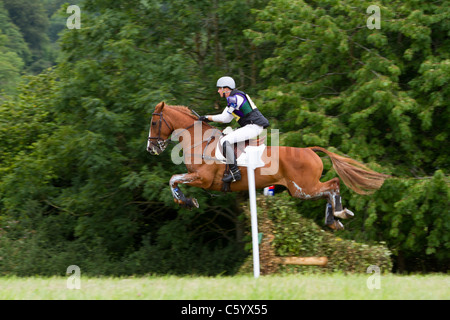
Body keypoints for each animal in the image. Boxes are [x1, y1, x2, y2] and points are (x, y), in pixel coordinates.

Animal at [147, 101, 386, 229]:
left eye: (154, 122)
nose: (151, 149)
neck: (199, 140)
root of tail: (310, 150)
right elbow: (174, 181)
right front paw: (186, 201)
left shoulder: (203, 179)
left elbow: (173, 180)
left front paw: (187, 201)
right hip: (301, 189)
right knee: (328, 190)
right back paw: (334, 219)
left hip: (303, 188)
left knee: (333, 185)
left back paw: (339, 213)